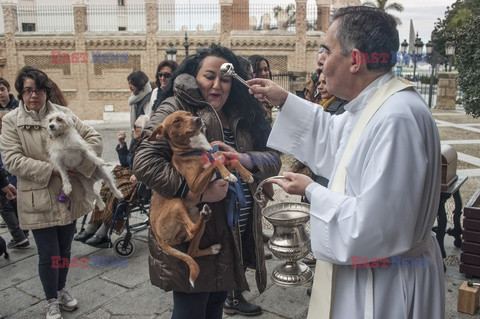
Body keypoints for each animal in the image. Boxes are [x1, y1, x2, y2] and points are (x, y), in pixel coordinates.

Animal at [148, 110, 255, 288]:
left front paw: (246, 174)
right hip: (176, 202)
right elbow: (215, 163)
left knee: (192, 250)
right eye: (177, 120)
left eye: (189, 114)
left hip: (195, 222)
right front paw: (228, 174)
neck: (198, 150)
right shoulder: (194, 186)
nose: (198, 119)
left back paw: (211, 245)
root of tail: (158, 237)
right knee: (191, 231)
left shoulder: (220, 158)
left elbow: (231, 159)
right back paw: (205, 217)